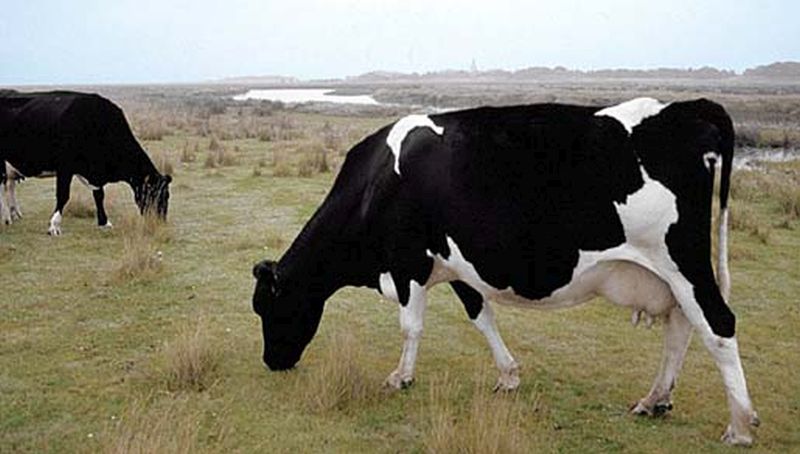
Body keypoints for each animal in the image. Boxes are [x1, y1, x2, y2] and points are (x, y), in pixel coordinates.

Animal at [0, 91, 171, 235]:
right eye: (155, 194)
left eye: (167, 195)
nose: (160, 222)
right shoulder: (65, 167)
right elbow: (63, 195)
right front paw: (54, 226)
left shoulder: (95, 172)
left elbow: (99, 195)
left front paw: (104, 222)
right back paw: (6, 218)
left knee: (9, 186)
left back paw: (13, 214)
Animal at [251, 98, 759, 445]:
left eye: (269, 308)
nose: (271, 362)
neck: (375, 184)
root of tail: (687, 109)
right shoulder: (457, 267)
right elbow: (481, 317)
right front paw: (509, 375)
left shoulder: (406, 262)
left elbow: (411, 326)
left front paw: (401, 377)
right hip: (670, 275)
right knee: (681, 328)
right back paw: (655, 400)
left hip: (682, 261)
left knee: (718, 325)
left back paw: (740, 425)